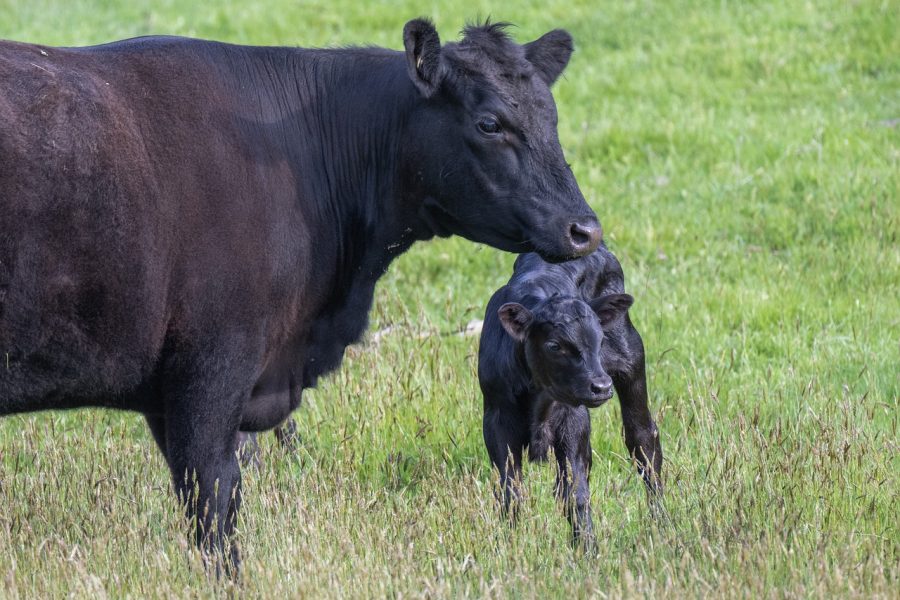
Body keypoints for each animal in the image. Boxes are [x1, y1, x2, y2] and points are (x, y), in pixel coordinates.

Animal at [478, 244, 663, 551]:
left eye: (600, 339)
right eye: (554, 345)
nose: (601, 386)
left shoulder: (572, 419)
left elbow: (575, 492)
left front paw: (587, 547)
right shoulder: (497, 417)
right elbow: (510, 489)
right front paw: (510, 543)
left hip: (631, 364)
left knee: (643, 441)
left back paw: (661, 523)